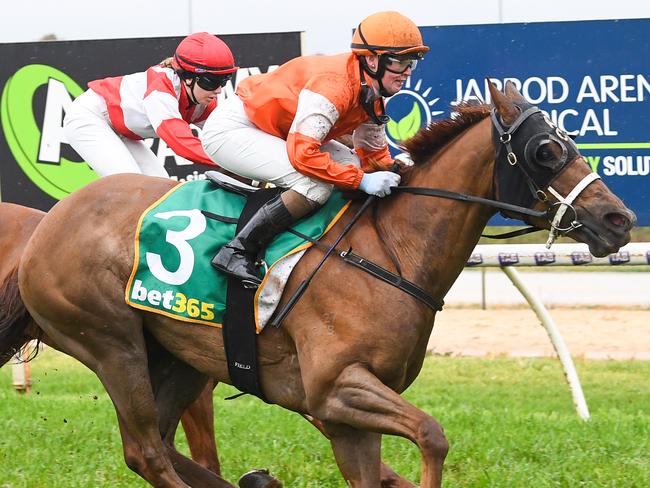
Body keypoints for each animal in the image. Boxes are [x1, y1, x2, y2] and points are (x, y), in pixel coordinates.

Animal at [2, 82, 636, 486]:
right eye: (546, 149)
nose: (618, 219)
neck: (390, 251)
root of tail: (45, 226)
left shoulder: (348, 415)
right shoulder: (336, 389)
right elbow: (432, 435)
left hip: (180, 357)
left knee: (157, 445)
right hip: (113, 345)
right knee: (147, 453)